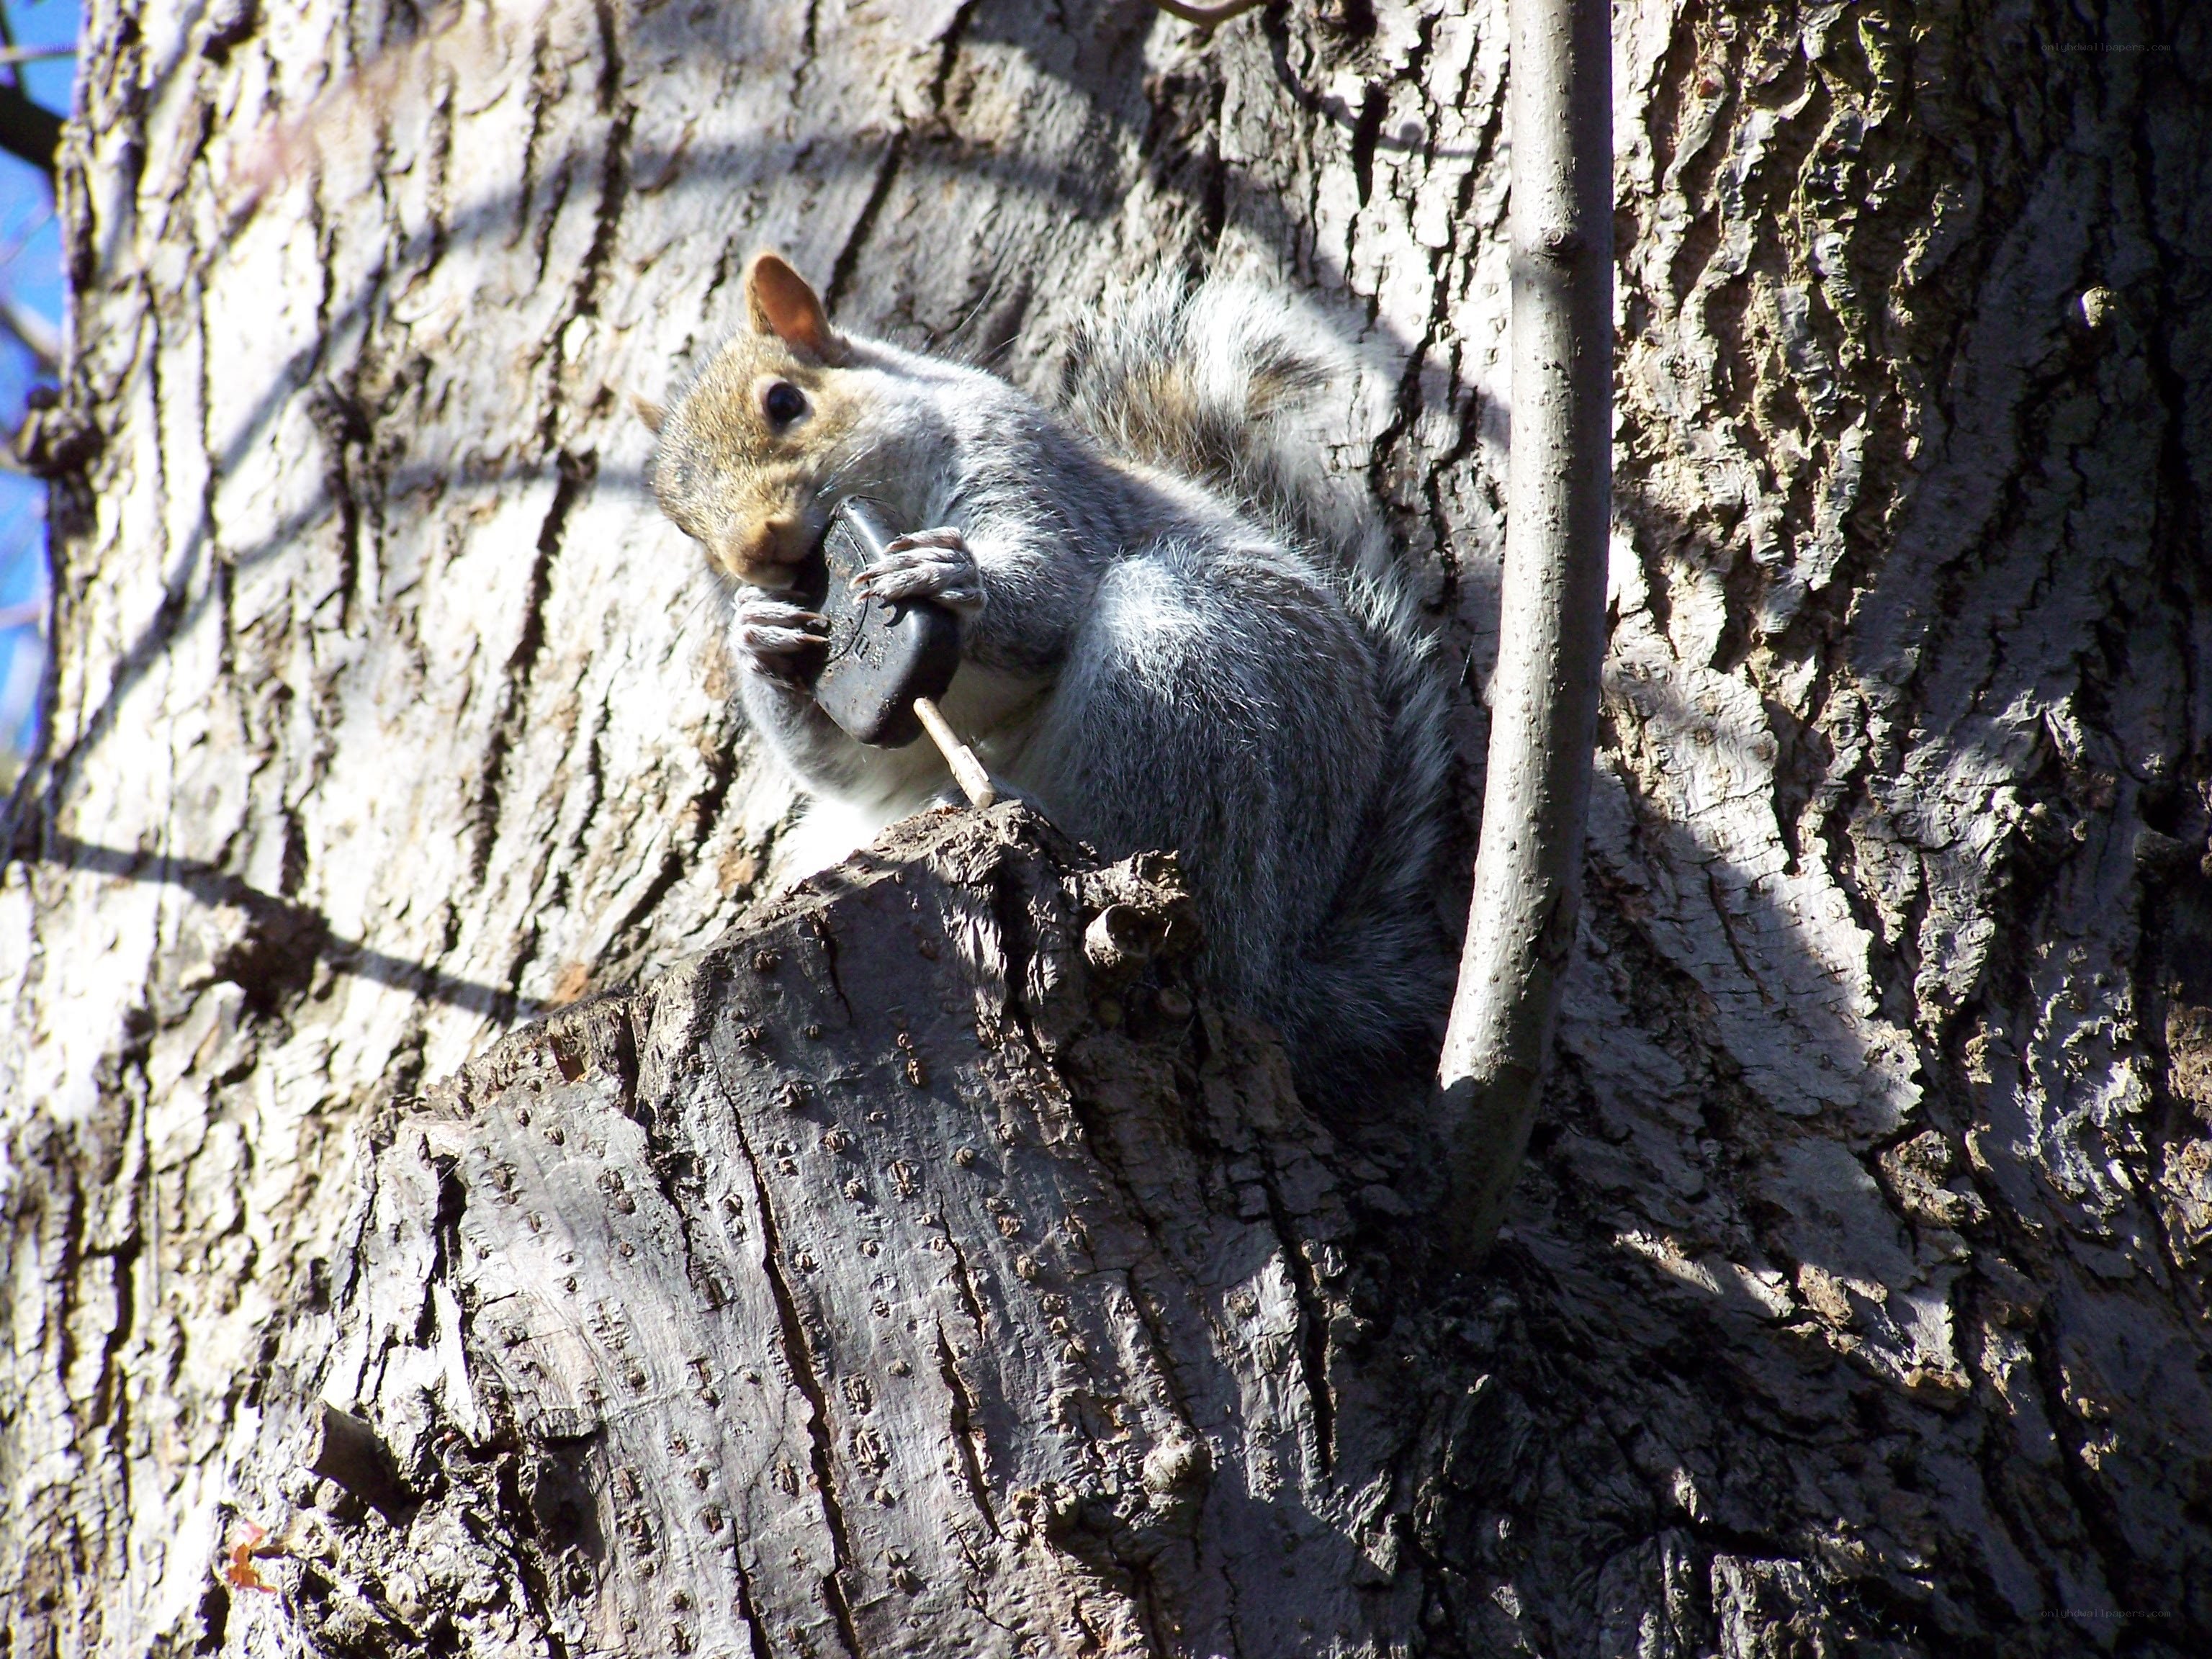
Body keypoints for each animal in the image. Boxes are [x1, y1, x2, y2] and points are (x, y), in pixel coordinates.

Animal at [644, 253, 1454, 1102]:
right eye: (683, 524)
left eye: (784, 401)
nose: (753, 553)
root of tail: (1279, 972)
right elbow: (849, 761)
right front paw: (760, 638)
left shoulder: (1030, 471)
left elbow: (1047, 590)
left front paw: (948, 575)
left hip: (1183, 682)